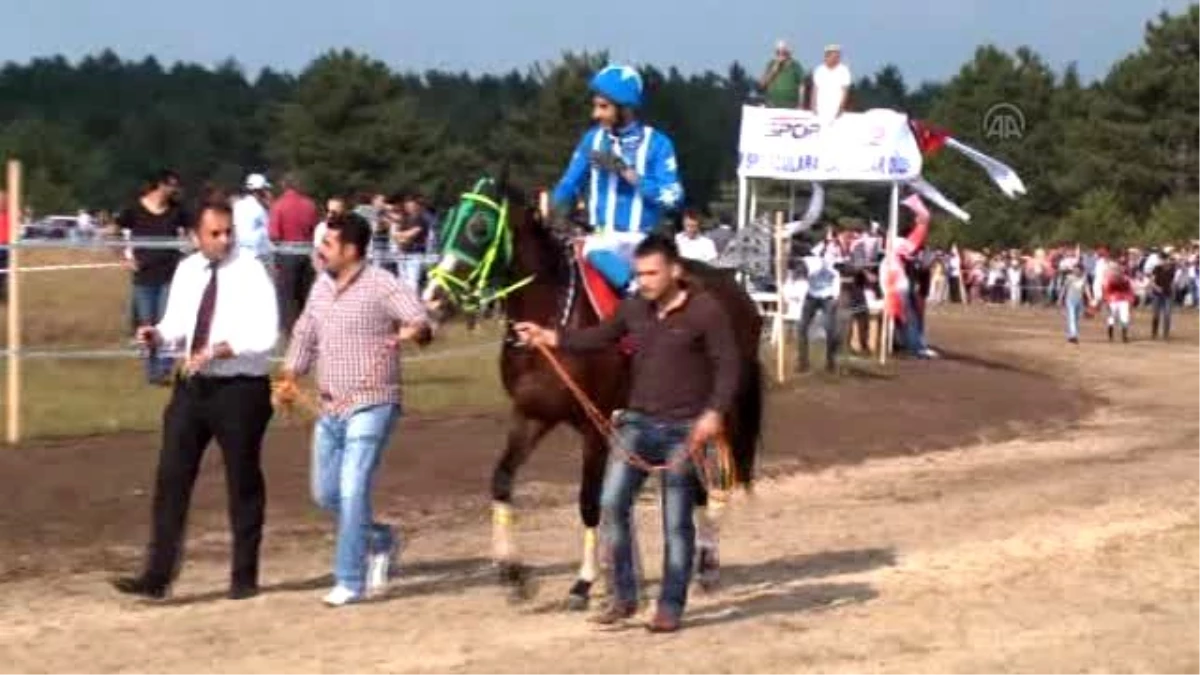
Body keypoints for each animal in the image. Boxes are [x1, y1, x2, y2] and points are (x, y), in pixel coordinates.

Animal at [422, 172, 758, 605]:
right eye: (446, 221)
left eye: (479, 227)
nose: (433, 298)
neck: (552, 320)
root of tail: (737, 289)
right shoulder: (531, 415)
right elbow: (502, 480)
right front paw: (512, 571)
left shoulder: (594, 426)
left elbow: (588, 502)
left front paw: (584, 582)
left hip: (715, 411)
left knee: (711, 484)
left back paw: (708, 563)